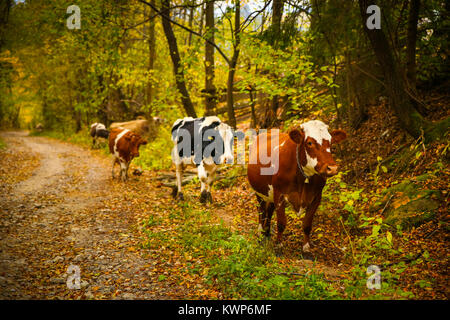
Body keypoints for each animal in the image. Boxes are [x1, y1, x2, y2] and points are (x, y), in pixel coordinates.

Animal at [246, 119, 348, 252]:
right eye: (309, 143)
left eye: (331, 142)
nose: (332, 168)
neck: (303, 178)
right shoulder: (279, 194)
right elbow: (281, 222)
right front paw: (279, 245)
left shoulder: (316, 197)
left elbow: (307, 224)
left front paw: (306, 248)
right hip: (260, 192)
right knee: (261, 211)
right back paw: (260, 233)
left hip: (270, 193)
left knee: (269, 211)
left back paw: (267, 232)